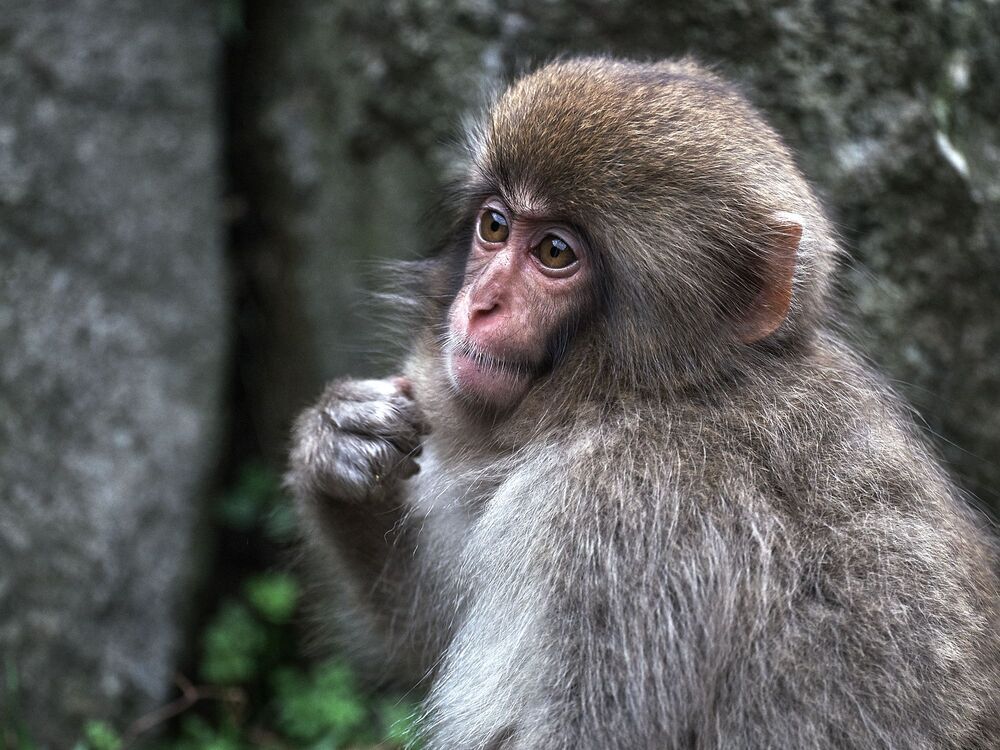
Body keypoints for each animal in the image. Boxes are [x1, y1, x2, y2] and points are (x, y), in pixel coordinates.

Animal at [288, 57, 1000, 749]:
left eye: (554, 252)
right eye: (495, 224)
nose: (481, 303)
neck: (656, 394)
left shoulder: (621, 527)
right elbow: (430, 628)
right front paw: (339, 448)